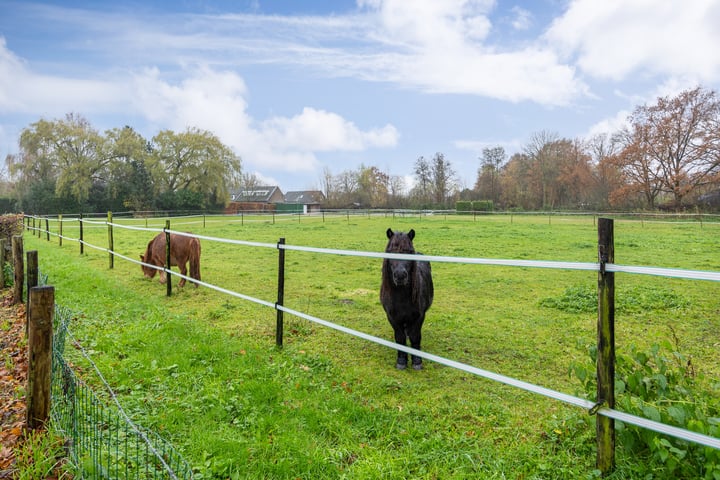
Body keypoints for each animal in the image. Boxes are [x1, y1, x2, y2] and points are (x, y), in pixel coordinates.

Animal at [380, 229, 436, 372]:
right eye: (391, 251)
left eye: (409, 251)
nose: (400, 275)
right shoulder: (392, 317)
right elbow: (400, 339)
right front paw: (401, 361)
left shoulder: (419, 317)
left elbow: (415, 337)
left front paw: (417, 361)